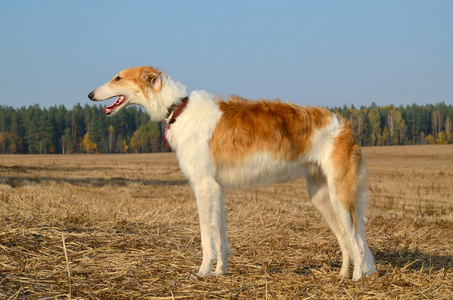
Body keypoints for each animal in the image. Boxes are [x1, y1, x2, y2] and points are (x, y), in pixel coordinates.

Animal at [87, 66, 374, 282]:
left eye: (118, 77)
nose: (89, 94)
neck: (179, 109)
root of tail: (345, 126)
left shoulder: (204, 185)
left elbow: (206, 236)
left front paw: (202, 272)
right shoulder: (217, 189)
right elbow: (220, 236)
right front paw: (219, 271)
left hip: (340, 197)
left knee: (358, 244)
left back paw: (356, 278)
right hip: (322, 197)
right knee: (347, 242)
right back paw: (342, 275)